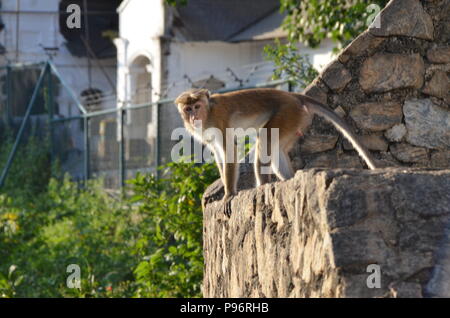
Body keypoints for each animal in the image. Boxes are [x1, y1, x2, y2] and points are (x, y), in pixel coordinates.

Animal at [176, 88, 376, 215]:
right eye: (188, 109)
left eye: (197, 107)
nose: (193, 117)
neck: (208, 113)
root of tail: (293, 96)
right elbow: (218, 154)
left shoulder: (219, 120)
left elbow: (230, 151)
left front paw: (229, 194)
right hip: (295, 121)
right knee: (275, 150)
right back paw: (288, 180)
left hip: (287, 113)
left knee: (264, 141)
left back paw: (262, 187)